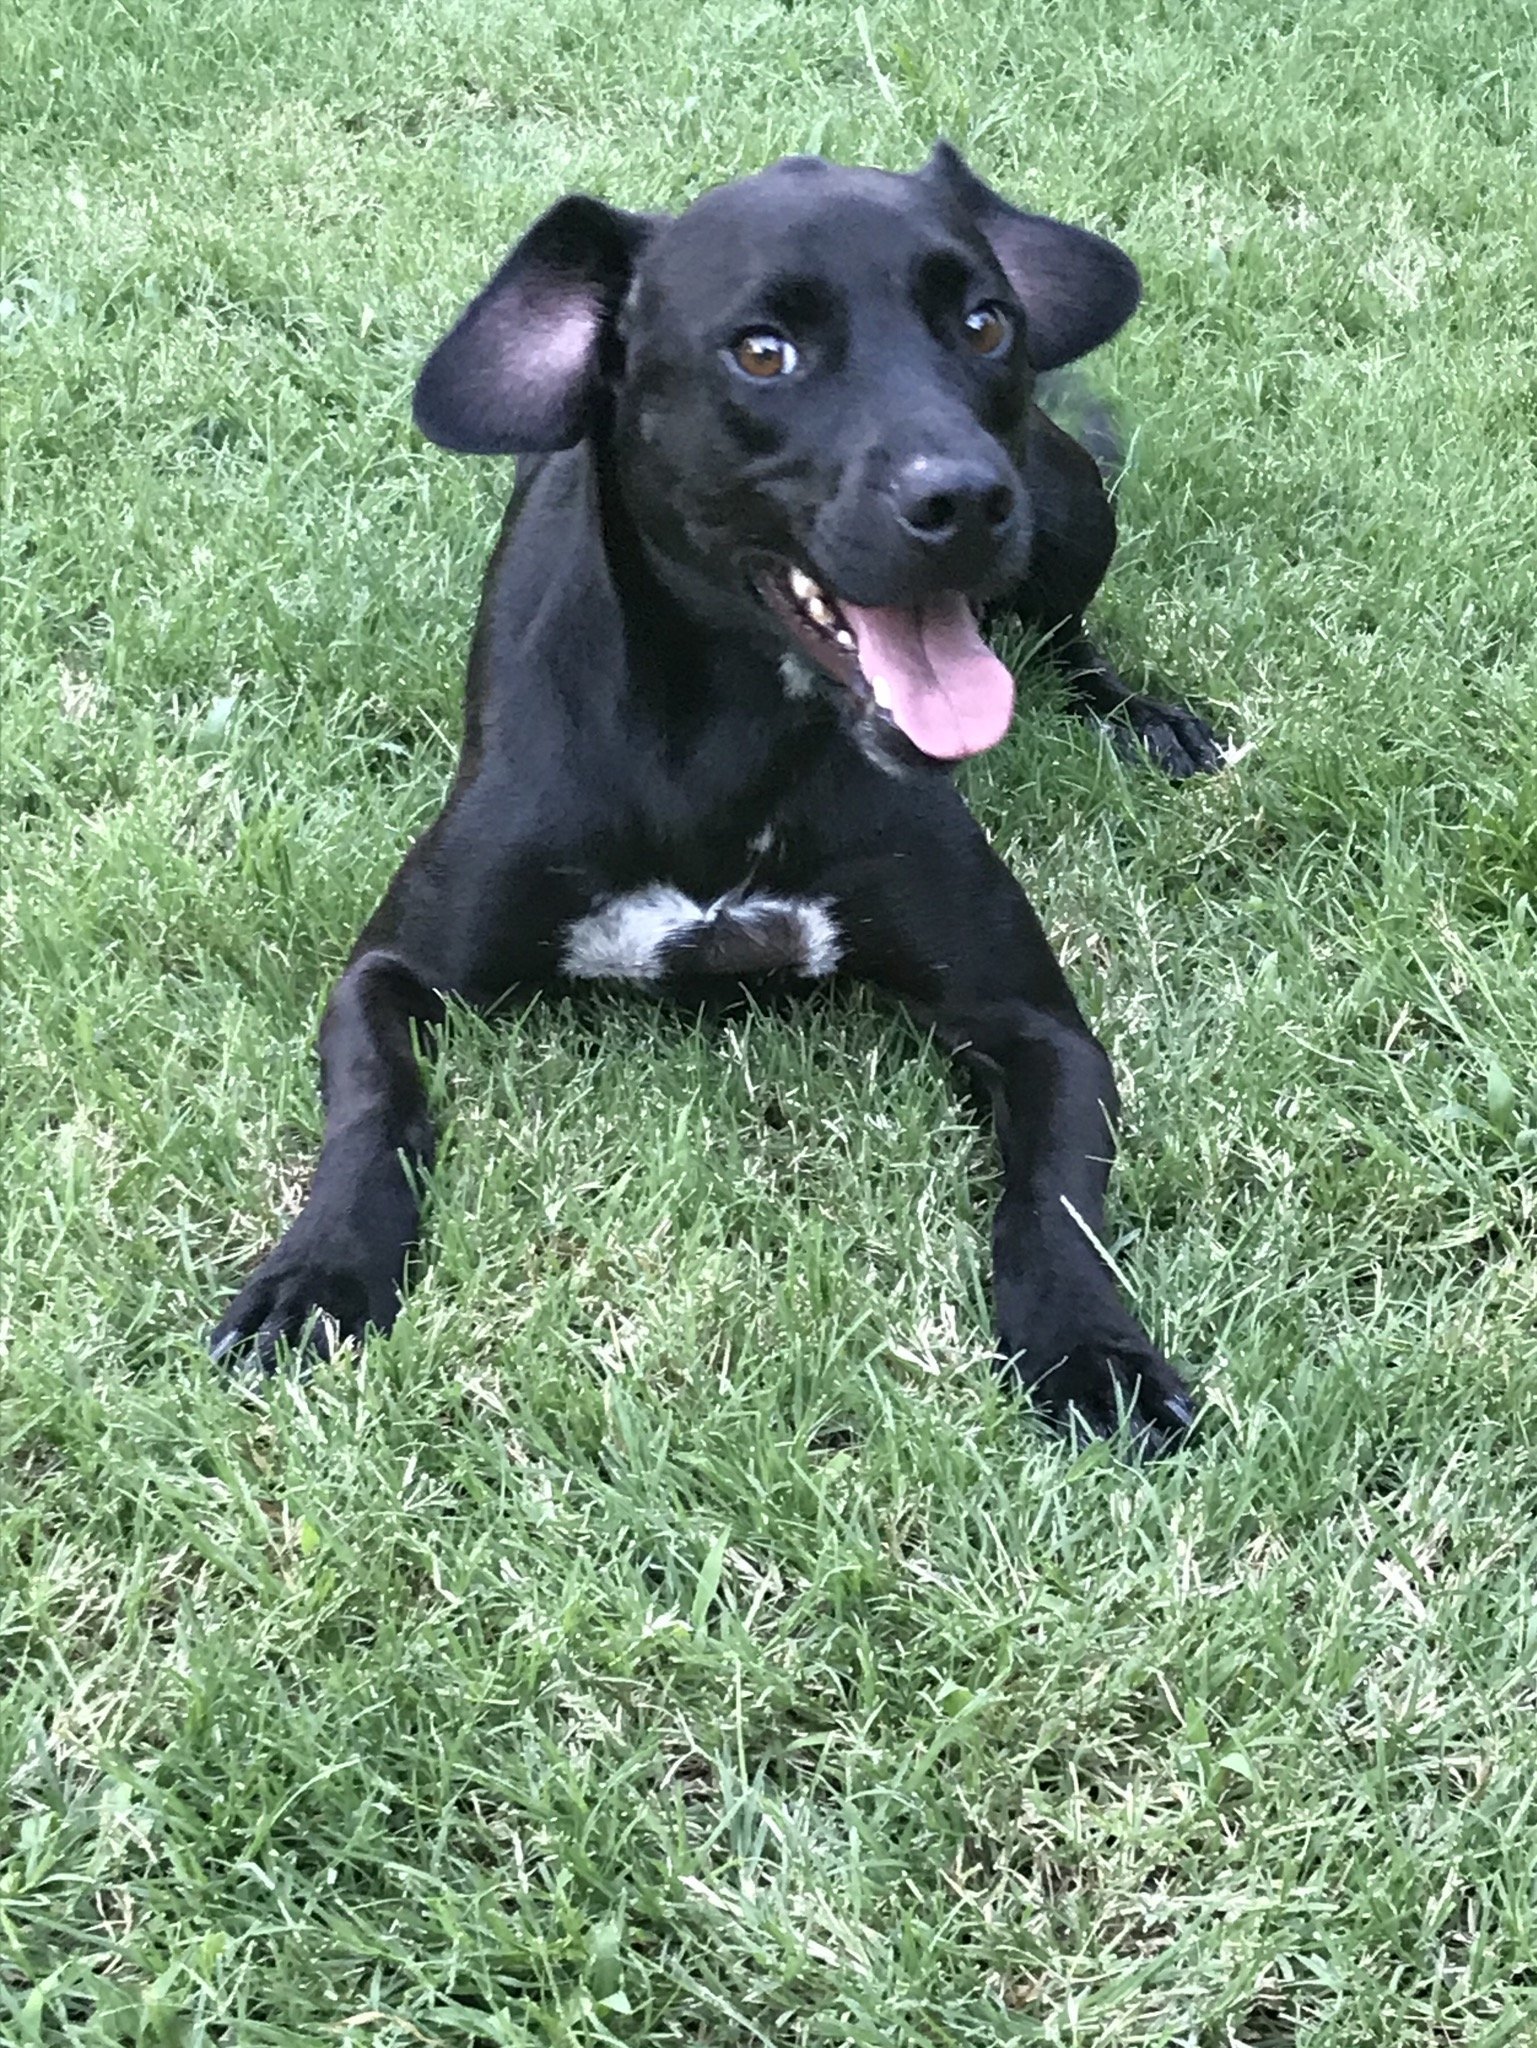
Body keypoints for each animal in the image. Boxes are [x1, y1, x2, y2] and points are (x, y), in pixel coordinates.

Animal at [214, 144, 1229, 1449]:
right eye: (761, 351)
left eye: (983, 321)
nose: (965, 499)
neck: (725, 747)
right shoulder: (386, 971)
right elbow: (371, 1112)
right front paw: (319, 1273)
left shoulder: (1037, 1025)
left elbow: (1053, 1199)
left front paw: (1093, 1347)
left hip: (1066, 506)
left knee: (1069, 639)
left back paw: (1143, 718)